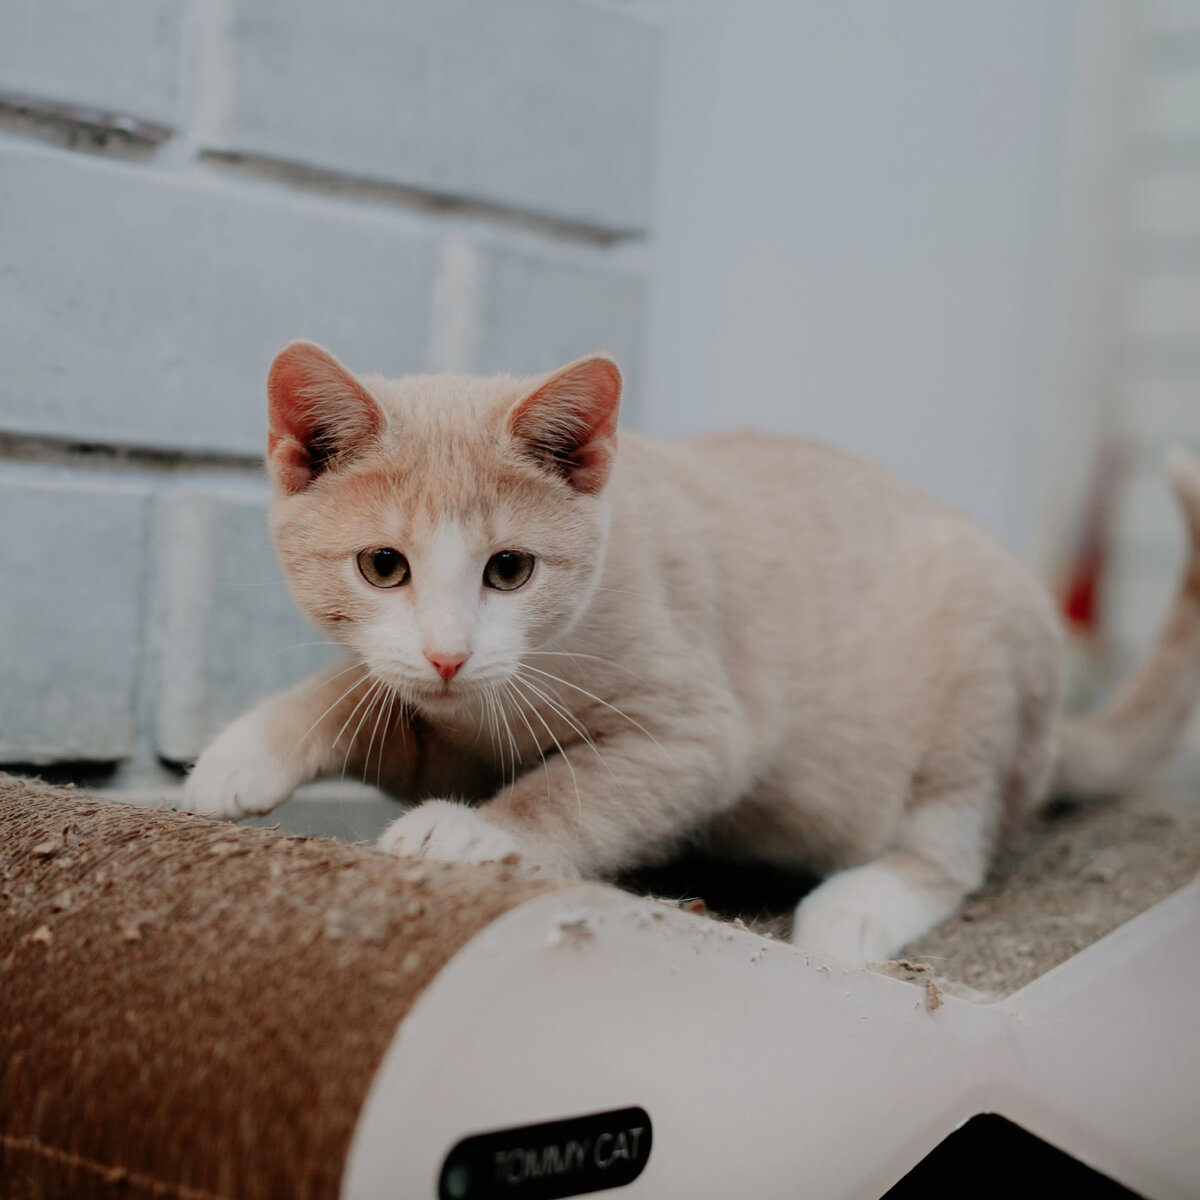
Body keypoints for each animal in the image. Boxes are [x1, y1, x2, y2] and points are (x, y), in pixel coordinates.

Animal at [182, 338, 1200, 964]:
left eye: (509, 569)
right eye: (383, 566)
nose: (448, 654)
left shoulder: (700, 729)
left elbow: (582, 786)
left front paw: (478, 832)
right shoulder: (441, 723)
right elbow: (356, 693)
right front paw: (237, 757)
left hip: (980, 669)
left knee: (954, 846)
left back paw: (858, 907)